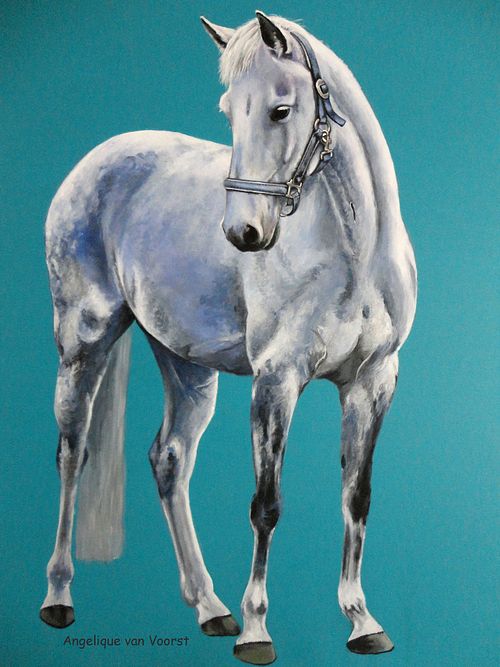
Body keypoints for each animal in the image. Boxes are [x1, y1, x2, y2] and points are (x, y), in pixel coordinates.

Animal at [40, 12, 416, 665]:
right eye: (228, 111)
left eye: (281, 110)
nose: (243, 233)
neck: (355, 252)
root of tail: (96, 160)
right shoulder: (276, 379)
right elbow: (266, 505)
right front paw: (257, 631)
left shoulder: (373, 382)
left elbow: (357, 497)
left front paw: (362, 622)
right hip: (82, 341)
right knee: (72, 451)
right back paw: (59, 598)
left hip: (187, 365)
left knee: (169, 458)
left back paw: (210, 607)